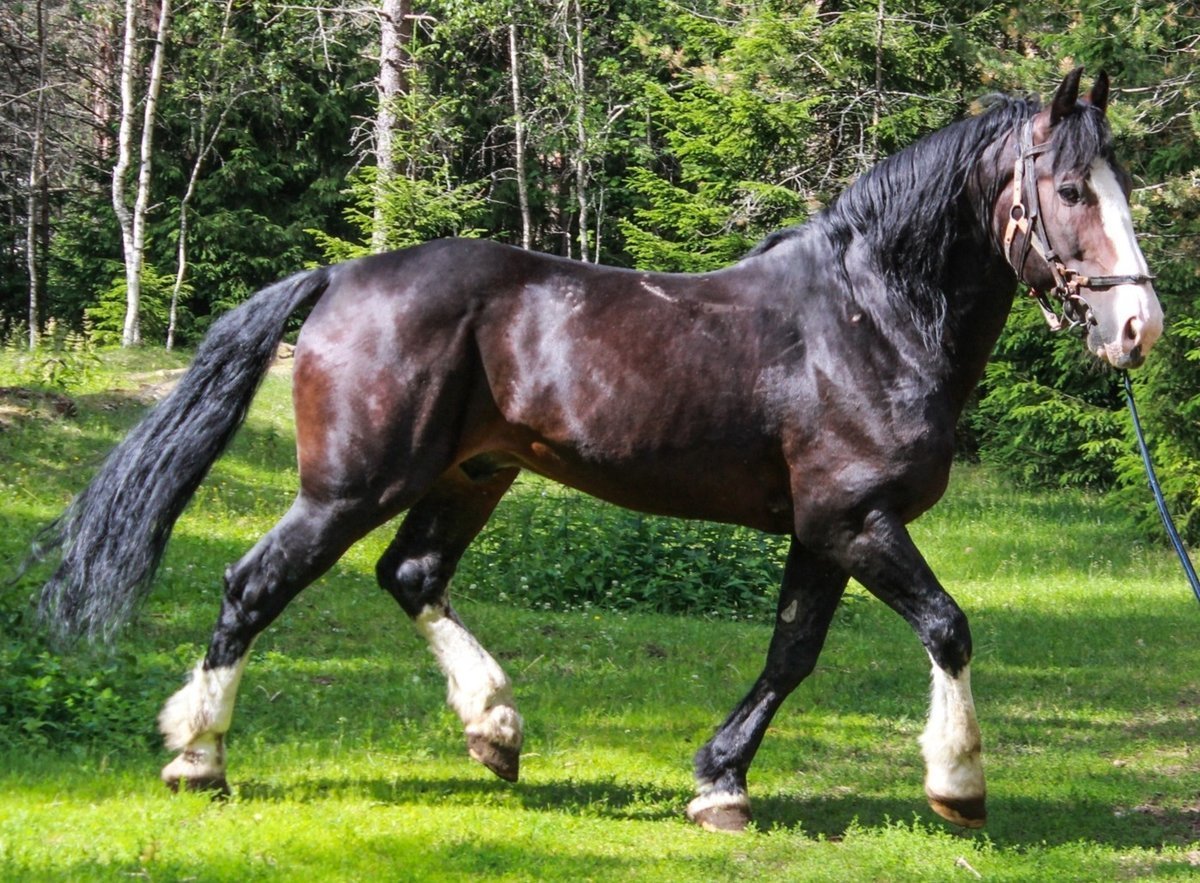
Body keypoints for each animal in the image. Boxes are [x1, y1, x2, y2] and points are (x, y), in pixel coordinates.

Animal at [37, 70, 1161, 835]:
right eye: (1070, 189)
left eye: (1123, 185)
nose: (1138, 327)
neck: (869, 318)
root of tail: (342, 275)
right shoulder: (854, 520)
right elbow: (947, 625)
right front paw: (957, 785)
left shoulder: (821, 530)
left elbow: (791, 652)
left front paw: (720, 781)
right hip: (350, 485)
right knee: (253, 584)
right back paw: (198, 756)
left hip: (469, 475)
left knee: (411, 574)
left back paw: (494, 730)